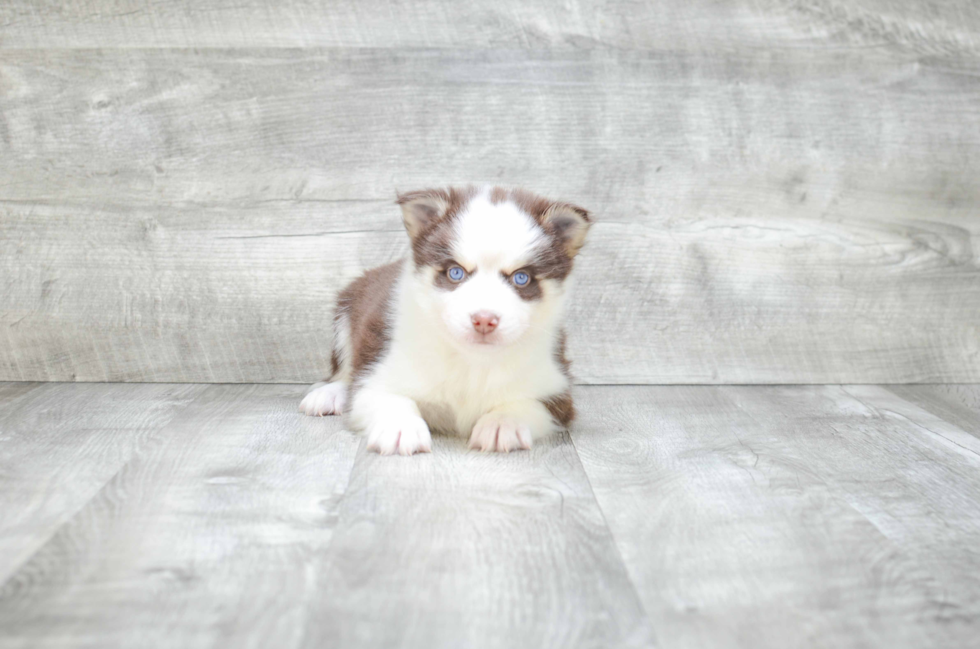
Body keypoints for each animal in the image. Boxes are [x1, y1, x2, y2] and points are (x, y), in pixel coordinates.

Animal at [298, 185, 588, 454]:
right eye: (455, 272)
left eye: (521, 278)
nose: (484, 320)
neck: (472, 361)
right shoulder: (376, 373)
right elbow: (391, 397)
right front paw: (400, 426)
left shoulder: (557, 392)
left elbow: (527, 403)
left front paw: (502, 423)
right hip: (347, 315)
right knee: (343, 371)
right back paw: (328, 394)